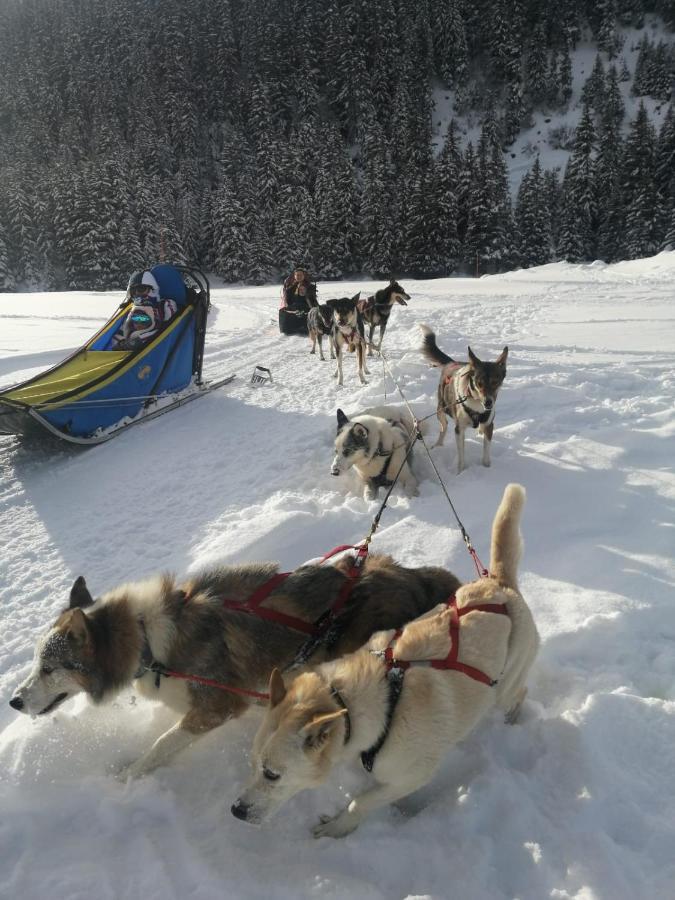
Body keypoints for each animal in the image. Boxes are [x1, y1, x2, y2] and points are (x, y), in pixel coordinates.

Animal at [9, 552, 460, 776]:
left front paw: (126, 778)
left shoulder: (216, 707)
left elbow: (161, 745)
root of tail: (414, 577)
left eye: (49, 668)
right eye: (36, 662)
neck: (147, 641)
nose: (14, 701)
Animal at [232, 486, 540, 836]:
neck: (357, 705)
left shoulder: (412, 773)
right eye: (252, 764)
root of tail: (497, 583)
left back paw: (511, 719)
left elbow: (360, 801)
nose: (236, 810)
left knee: (518, 693)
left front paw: (337, 828)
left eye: (272, 774)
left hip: (506, 683)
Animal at [420, 326, 510, 478]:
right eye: (479, 383)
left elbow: (486, 453)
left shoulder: (489, 425)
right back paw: (438, 445)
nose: (488, 403)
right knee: (443, 428)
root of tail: (451, 363)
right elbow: (461, 456)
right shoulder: (459, 429)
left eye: (495, 382)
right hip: (441, 409)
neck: (477, 405)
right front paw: (460, 473)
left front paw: (487, 469)